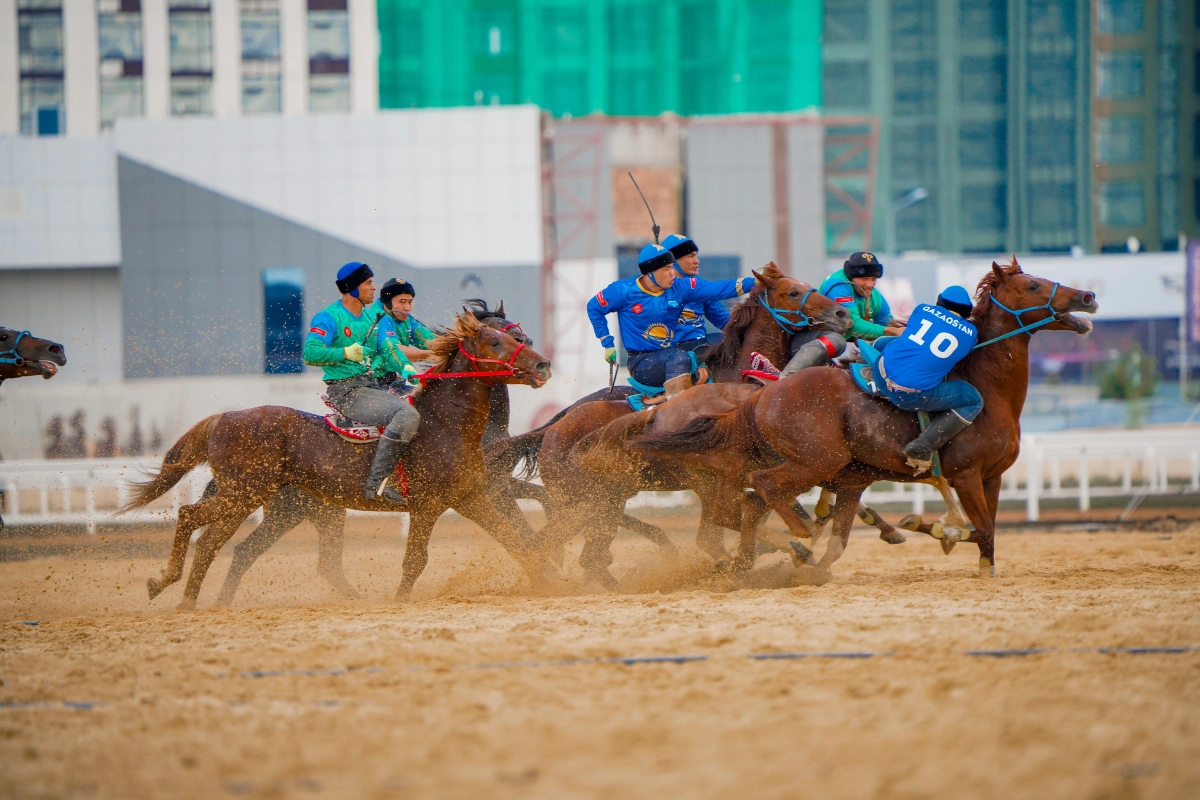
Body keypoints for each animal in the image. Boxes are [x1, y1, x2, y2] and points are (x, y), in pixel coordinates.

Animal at [121, 311, 552, 606]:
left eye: (515, 335)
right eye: (496, 341)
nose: (543, 364)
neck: (444, 424)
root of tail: (226, 417)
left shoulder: (472, 497)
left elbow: (519, 541)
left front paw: (547, 582)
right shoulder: (428, 505)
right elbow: (415, 560)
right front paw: (398, 600)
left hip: (260, 503)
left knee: (220, 545)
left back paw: (198, 601)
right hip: (245, 496)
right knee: (189, 517)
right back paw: (165, 583)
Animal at [494, 266, 854, 585]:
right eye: (792, 292)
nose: (842, 314)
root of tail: (552, 430)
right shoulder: (718, 481)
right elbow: (727, 529)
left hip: (605, 501)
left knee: (581, 555)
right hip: (587, 502)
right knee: (569, 549)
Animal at [624, 260, 1099, 578]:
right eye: (1033, 285)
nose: (1088, 296)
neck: (985, 385)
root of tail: (764, 394)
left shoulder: (991, 477)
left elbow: (989, 532)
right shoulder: (965, 475)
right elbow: (979, 528)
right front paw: (932, 528)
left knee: (748, 510)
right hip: (807, 461)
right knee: (757, 495)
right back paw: (796, 539)